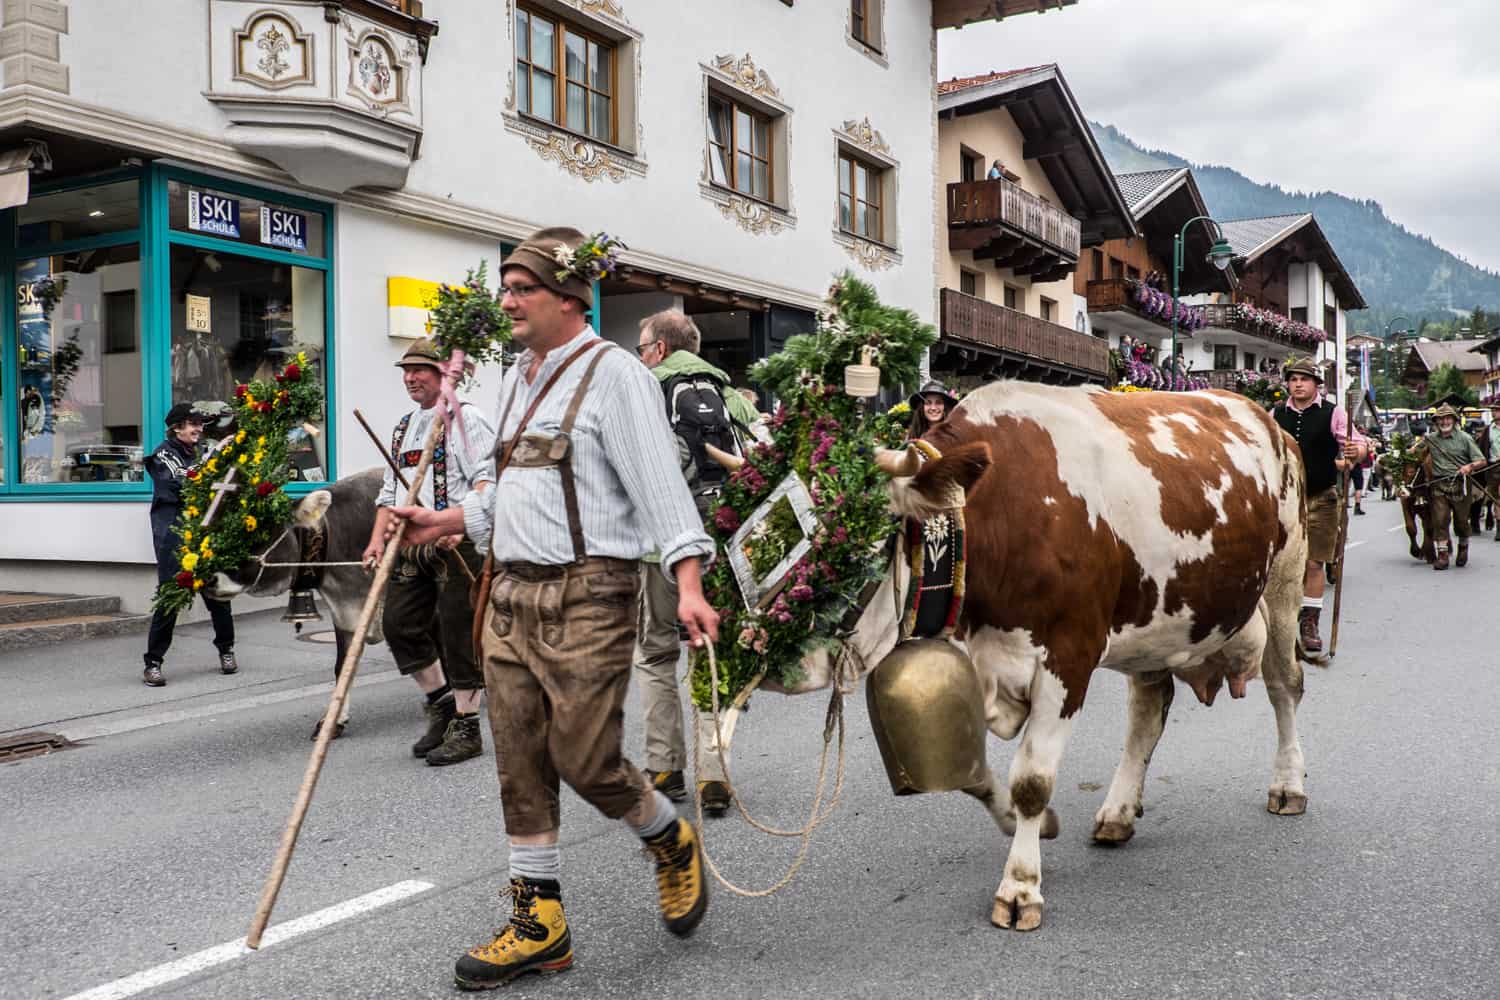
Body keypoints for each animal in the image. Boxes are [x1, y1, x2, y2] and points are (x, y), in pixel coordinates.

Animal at [810, 380, 1314, 929]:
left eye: (864, 547)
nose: (794, 658)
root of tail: (1266, 418)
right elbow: (971, 773)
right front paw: (1027, 824)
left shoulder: (1067, 659)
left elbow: (1032, 780)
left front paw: (1020, 887)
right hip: (1156, 625)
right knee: (1148, 710)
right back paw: (1118, 813)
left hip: (1284, 582)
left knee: (1285, 687)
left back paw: (1288, 785)